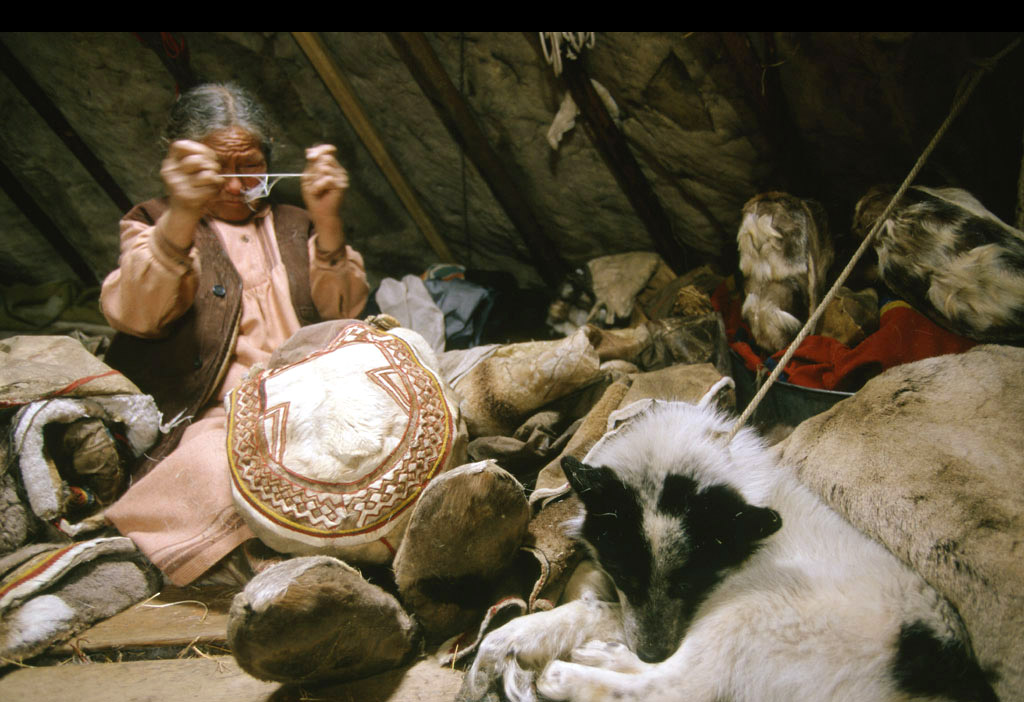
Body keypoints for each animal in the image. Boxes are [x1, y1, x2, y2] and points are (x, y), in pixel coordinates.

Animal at [461, 400, 995, 702]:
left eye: (689, 580)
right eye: (626, 574)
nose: (650, 651)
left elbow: (580, 613)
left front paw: (507, 643)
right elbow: (592, 597)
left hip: (751, 610)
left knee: (681, 686)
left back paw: (572, 675)